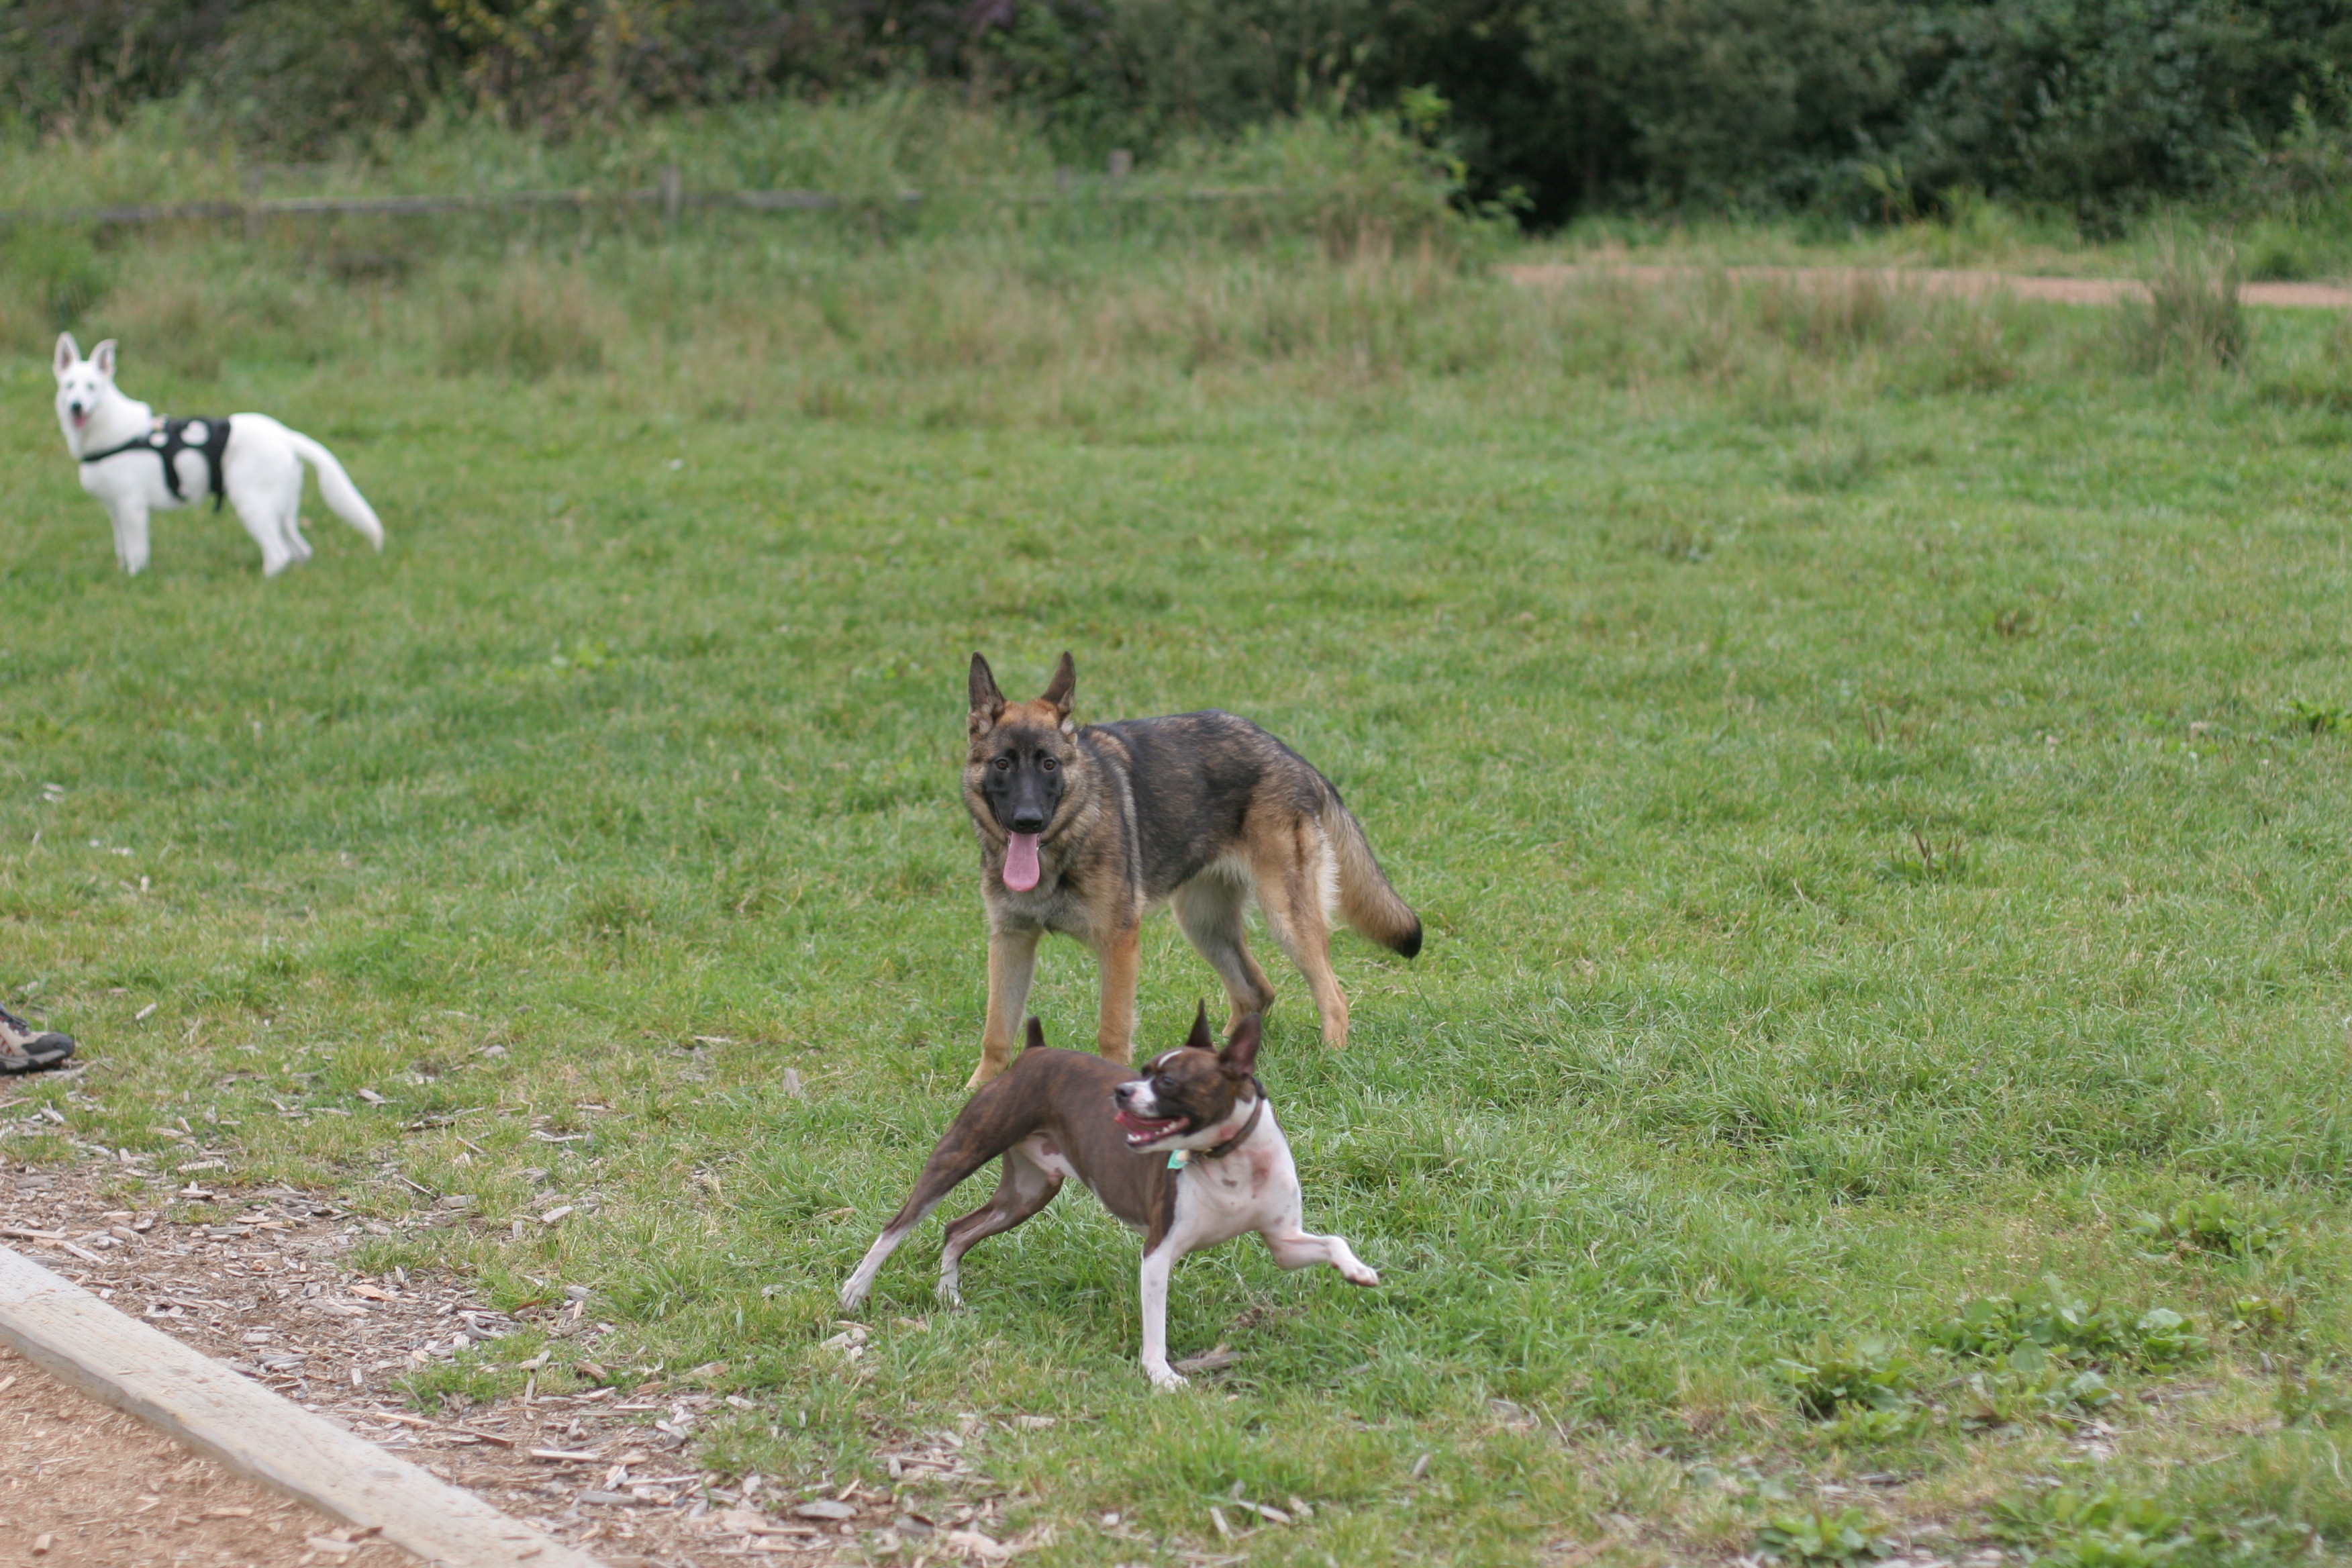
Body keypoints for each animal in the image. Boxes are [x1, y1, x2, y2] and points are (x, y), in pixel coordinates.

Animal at [52, 334, 384, 576]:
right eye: (69, 386)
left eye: (92, 387)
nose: (77, 407)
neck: (108, 429)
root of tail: (285, 434)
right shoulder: (115, 510)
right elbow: (122, 549)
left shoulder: (132, 508)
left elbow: (136, 553)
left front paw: (135, 579)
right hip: (282, 513)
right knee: (300, 551)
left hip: (252, 505)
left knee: (279, 555)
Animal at [839, 1009, 1376, 1389]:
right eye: (1143, 1070)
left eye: (1168, 1081)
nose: (1122, 1091)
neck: (1227, 1159)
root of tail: (1034, 1051)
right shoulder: (1158, 1253)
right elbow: (1156, 1326)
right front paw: (1161, 1375)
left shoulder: (1285, 1243)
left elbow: (1333, 1241)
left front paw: (1359, 1272)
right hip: (961, 1152)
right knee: (899, 1225)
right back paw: (856, 1290)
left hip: (1028, 1193)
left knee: (958, 1229)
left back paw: (949, 1296)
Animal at [962, 652, 1419, 1086]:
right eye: (1002, 764)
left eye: (1049, 765)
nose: (1028, 820)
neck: (1065, 840)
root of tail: (1290, 755)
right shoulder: (1010, 941)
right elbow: (996, 1030)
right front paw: (980, 1088)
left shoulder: (1118, 945)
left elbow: (1112, 1029)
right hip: (1204, 924)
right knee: (1256, 991)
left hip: (1285, 919)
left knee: (1333, 996)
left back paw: (1331, 1057)